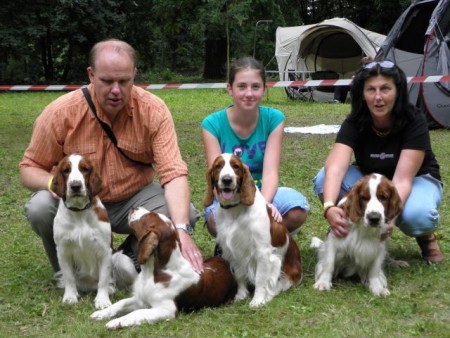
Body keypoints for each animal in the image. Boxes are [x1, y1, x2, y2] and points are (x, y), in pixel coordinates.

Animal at [51, 154, 114, 310]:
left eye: (85, 169)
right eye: (66, 170)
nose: (75, 186)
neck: (79, 212)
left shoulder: (105, 250)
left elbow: (103, 279)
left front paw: (102, 300)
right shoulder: (63, 250)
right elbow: (69, 277)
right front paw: (69, 297)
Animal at [91, 207, 239, 328]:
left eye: (146, 217)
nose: (134, 207)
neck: (153, 272)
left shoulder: (166, 310)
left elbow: (137, 313)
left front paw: (116, 322)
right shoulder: (141, 299)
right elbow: (121, 303)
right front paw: (101, 313)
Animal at [204, 154, 302, 308]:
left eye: (236, 166)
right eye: (218, 166)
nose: (227, 179)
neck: (235, 210)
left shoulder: (263, 252)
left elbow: (260, 279)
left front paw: (257, 300)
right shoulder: (234, 249)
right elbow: (239, 274)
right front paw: (241, 295)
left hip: (282, 268)